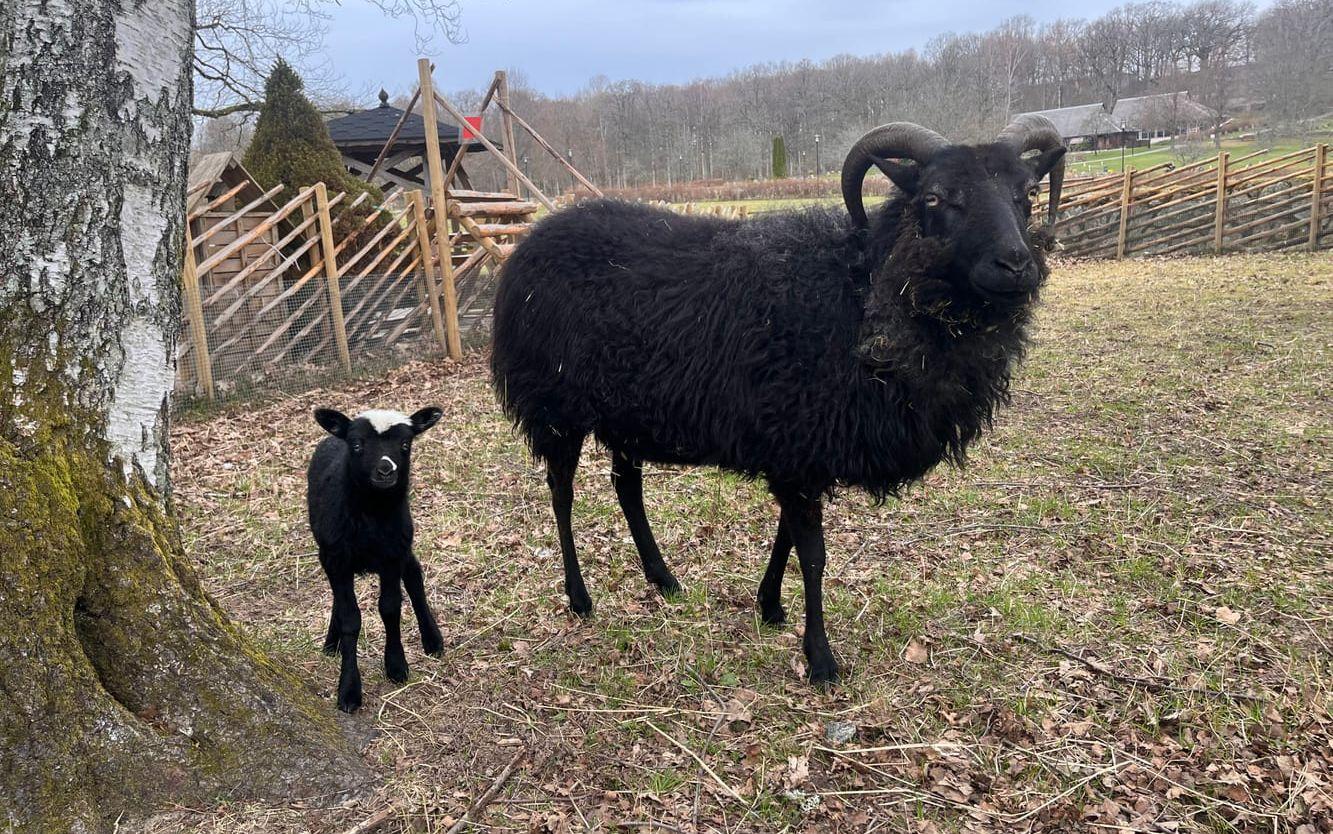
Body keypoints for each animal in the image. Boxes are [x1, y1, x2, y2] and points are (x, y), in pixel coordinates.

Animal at [306, 402, 442, 708]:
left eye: (405, 444)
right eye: (357, 444)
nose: (385, 470)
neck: (371, 514)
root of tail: (334, 435)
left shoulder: (393, 554)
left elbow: (390, 608)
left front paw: (396, 666)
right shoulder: (337, 558)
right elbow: (350, 618)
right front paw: (349, 690)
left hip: (403, 541)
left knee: (414, 575)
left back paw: (433, 639)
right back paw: (331, 644)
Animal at [493, 113, 1071, 682]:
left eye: (1028, 192)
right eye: (933, 197)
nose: (1016, 265)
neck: (862, 293)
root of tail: (530, 242)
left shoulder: (797, 448)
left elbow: (786, 537)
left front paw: (770, 606)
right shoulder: (798, 439)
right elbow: (812, 553)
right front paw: (820, 658)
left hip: (625, 412)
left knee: (626, 487)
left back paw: (663, 578)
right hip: (555, 407)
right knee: (562, 494)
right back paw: (579, 597)